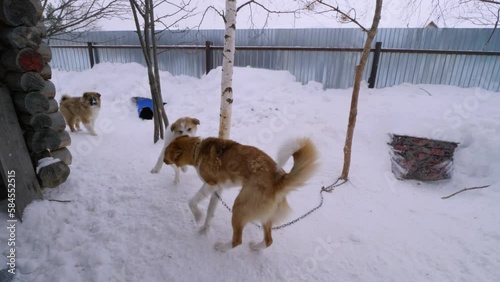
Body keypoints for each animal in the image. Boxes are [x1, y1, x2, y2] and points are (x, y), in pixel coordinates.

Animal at [165, 136, 320, 251]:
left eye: (166, 153)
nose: (164, 160)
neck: (197, 149)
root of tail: (278, 179)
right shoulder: (218, 189)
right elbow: (210, 212)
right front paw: (204, 229)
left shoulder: (211, 184)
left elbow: (192, 201)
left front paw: (197, 216)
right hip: (264, 215)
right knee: (268, 241)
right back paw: (256, 247)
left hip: (239, 207)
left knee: (238, 240)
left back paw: (222, 247)